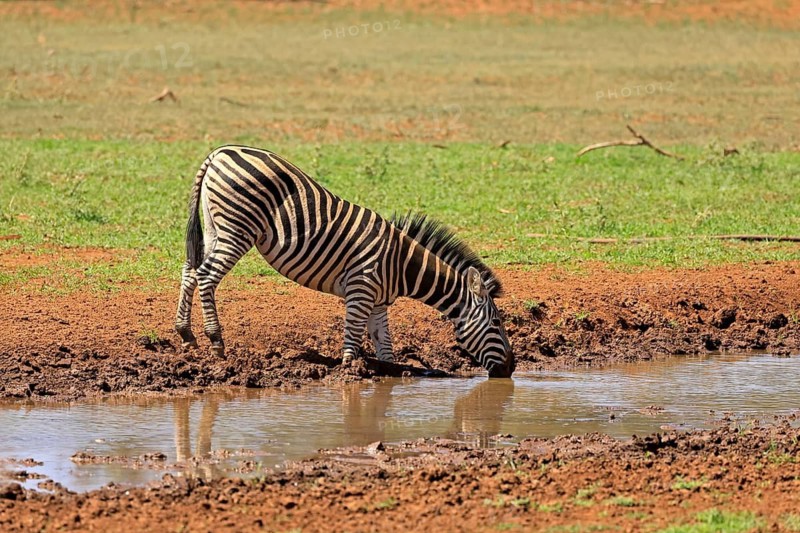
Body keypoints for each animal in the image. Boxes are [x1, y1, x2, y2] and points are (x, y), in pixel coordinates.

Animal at [174, 145, 515, 378]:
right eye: (497, 324)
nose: (511, 370)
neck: (401, 266)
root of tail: (220, 152)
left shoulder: (378, 303)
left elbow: (385, 347)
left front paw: (389, 374)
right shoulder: (360, 290)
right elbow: (352, 339)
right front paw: (350, 373)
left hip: (215, 227)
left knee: (190, 270)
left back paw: (186, 334)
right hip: (237, 228)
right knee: (206, 276)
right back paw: (216, 341)